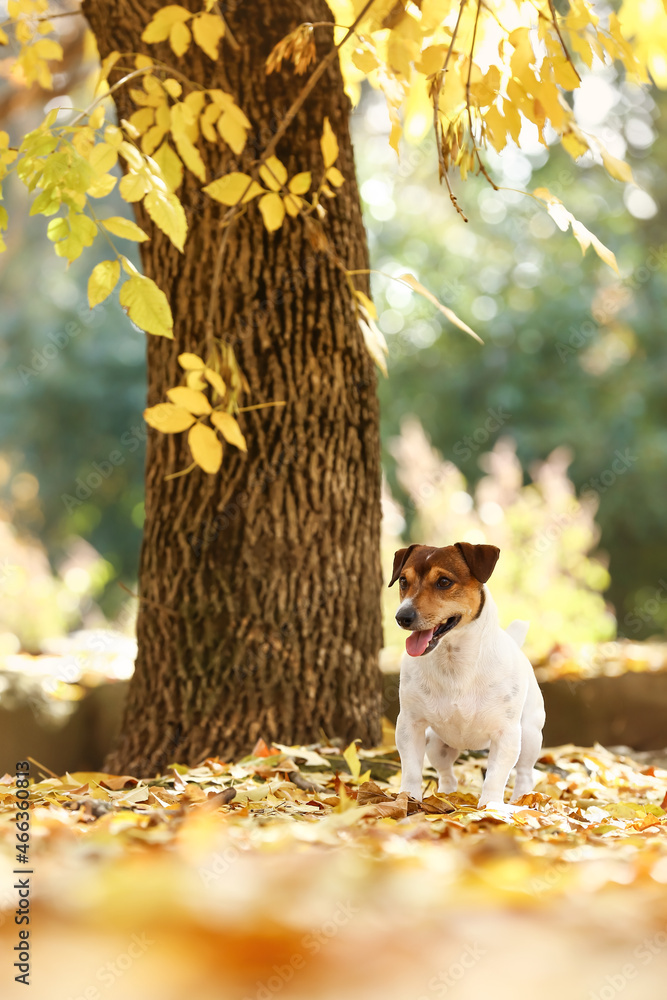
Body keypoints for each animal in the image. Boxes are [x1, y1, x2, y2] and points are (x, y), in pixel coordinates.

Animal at [394, 544, 544, 808]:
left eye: (444, 582)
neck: (455, 662)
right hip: (436, 744)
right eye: (403, 581)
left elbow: (495, 777)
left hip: (529, 736)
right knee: (447, 774)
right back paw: (445, 795)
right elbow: (411, 769)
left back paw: (521, 800)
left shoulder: (506, 734)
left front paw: (490, 807)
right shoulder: (409, 724)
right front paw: (409, 799)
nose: (402, 617)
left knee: (525, 772)